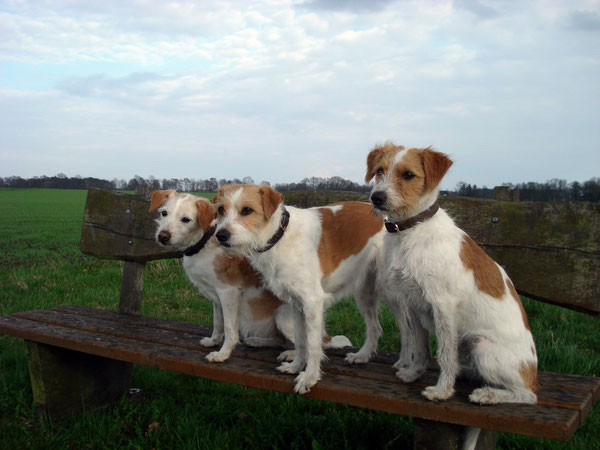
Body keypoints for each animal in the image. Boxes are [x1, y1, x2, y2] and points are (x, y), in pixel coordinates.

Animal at [148, 189, 352, 362]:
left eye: (186, 219)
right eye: (164, 213)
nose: (162, 236)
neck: (205, 242)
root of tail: (326, 336)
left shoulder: (228, 293)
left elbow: (229, 328)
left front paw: (223, 354)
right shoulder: (216, 298)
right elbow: (218, 322)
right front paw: (214, 341)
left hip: (284, 318)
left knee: (310, 344)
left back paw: (292, 354)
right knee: (281, 341)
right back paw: (257, 341)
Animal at [213, 184, 386, 394]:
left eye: (247, 210)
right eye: (221, 210)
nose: (221, 235)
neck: (280, 236)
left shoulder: (312, 303)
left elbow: (312, 344)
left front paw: (309, 377)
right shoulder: (296, 303)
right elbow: (301, 339)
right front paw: (296, 366)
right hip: (364, 293)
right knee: (375, 328)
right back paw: (362, 356)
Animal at [366, 143, 540, 404]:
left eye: (408, 175)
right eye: (379, 170)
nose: (376, 197)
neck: (412, 229)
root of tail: (533, 374)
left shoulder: (443, 306)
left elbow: (446, 354)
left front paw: (442, 391)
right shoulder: (413, 304)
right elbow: (421, 347)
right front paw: (413, 373)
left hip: (481, 346)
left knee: (526, 395)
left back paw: (488, 394)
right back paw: (467, 372)